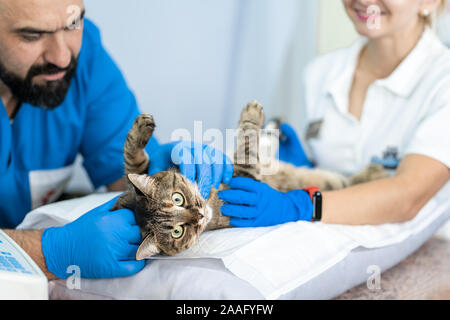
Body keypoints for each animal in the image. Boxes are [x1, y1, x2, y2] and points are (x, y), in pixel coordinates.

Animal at [111, 102, 386, 260]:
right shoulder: (246, 175)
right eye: (178, 232)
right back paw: (376, 170)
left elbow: (131, 159)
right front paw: (252, 114)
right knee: (348, 180)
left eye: (177, 198)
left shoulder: (140, 174)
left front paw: (139, 128)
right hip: (334, 183)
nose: (199, 214)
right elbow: (246, 142)